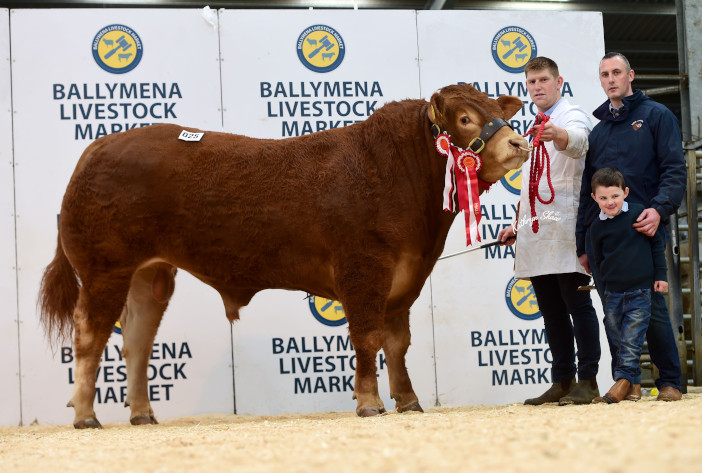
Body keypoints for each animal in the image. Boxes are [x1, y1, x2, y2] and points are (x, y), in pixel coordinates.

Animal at [40, 83, 528, 426]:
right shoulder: (363, 270)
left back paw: (142, 413)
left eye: (497, 111)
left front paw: (408, 402)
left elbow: (398, 344)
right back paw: (85, 415)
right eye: (465, 118)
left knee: (137, 340)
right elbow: (368, 338)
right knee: (90, 334)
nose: (519, 145)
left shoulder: (405, 278)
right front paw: (370, 403)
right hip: (105, 267)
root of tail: (100, 145)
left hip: (151, 273)